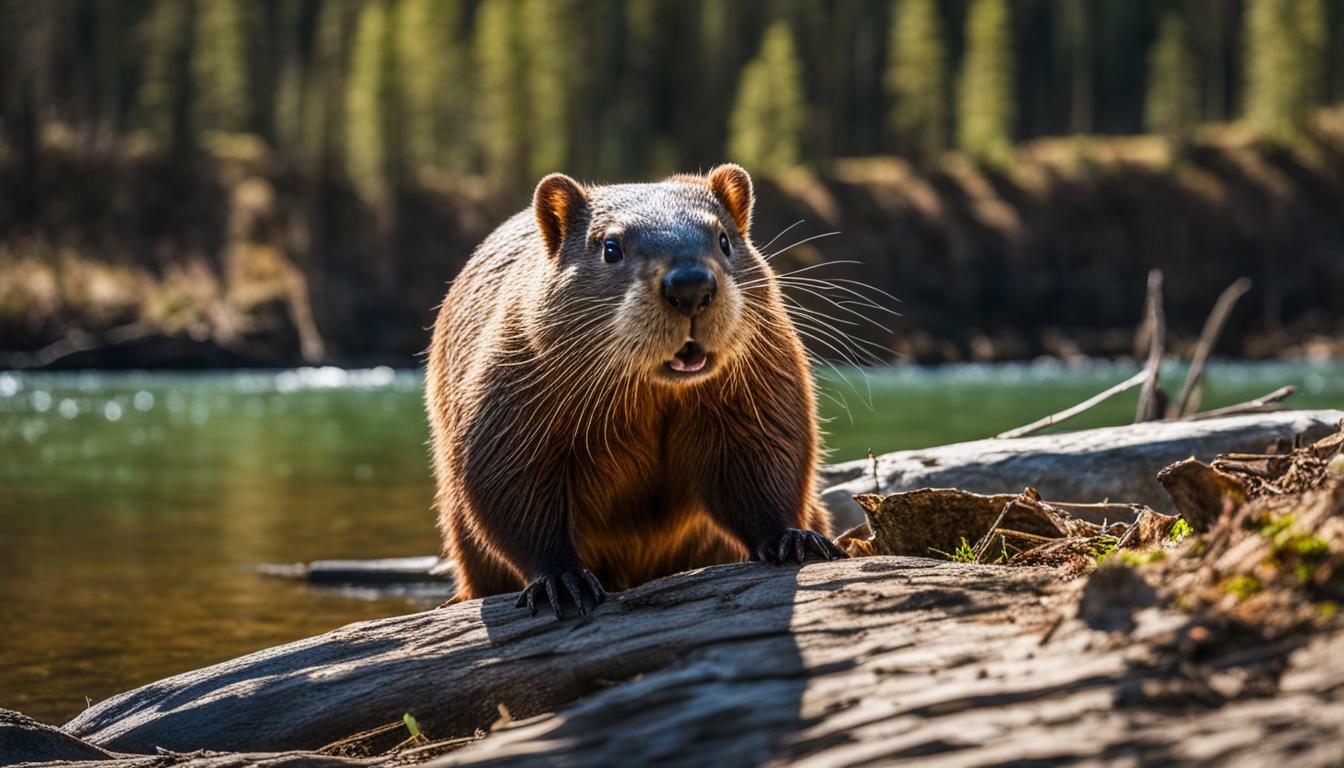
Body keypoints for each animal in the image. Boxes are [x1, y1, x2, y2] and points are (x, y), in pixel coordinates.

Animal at [424, 164, 838, 618]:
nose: (690, 286)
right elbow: (510, 496)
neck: (652, 395)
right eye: (611, 247)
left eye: (724, 239)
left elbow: (768, 469)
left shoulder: (762, 388)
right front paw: (562, 582)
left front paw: (795, 540)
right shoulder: (510, 405)